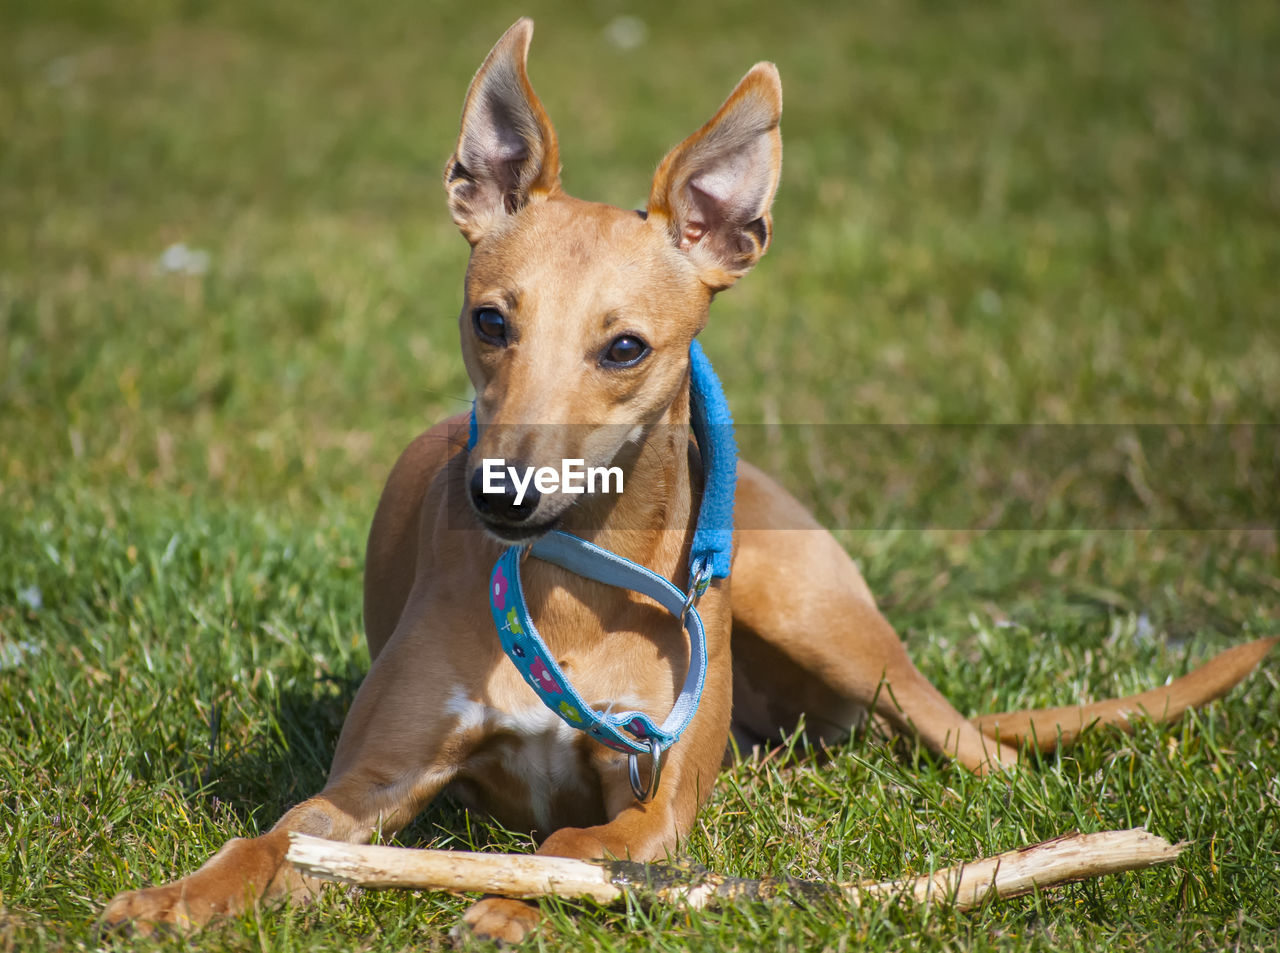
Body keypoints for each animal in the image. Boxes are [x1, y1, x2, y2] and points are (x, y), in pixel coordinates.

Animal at [104, 18, 1274, 941]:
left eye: (624, 346)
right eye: (490, 320)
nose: (500, 497)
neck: (573, 584)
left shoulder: (655, 800)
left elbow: (583, 841)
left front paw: (515, 897)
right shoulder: (369, 785)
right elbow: (276, 838)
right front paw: (175, 895)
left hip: (828, 625)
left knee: (986, 753)